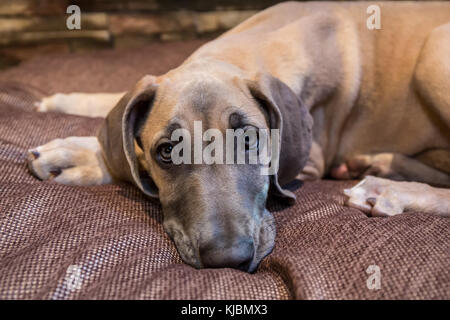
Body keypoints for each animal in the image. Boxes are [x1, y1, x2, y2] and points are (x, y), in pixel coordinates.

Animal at [26, 1, 448, 272]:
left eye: (249, 140)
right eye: (168, 152)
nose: (228, 260)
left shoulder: (311, 160)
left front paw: (79, 154)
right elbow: (116, 107)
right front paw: (62, 107)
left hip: (433, 54)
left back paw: (386, 188)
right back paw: (377, 164)